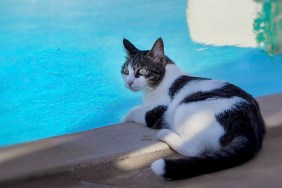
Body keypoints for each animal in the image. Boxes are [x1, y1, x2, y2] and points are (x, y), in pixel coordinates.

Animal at [120, 37, 264, 180]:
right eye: (125, 71)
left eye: (142, 71)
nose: (129, 83)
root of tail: (247, 128)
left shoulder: (159, 109)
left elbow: (135, 111)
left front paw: (125, 117)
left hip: (185, 108)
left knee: (193, 149)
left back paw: (164, 133)